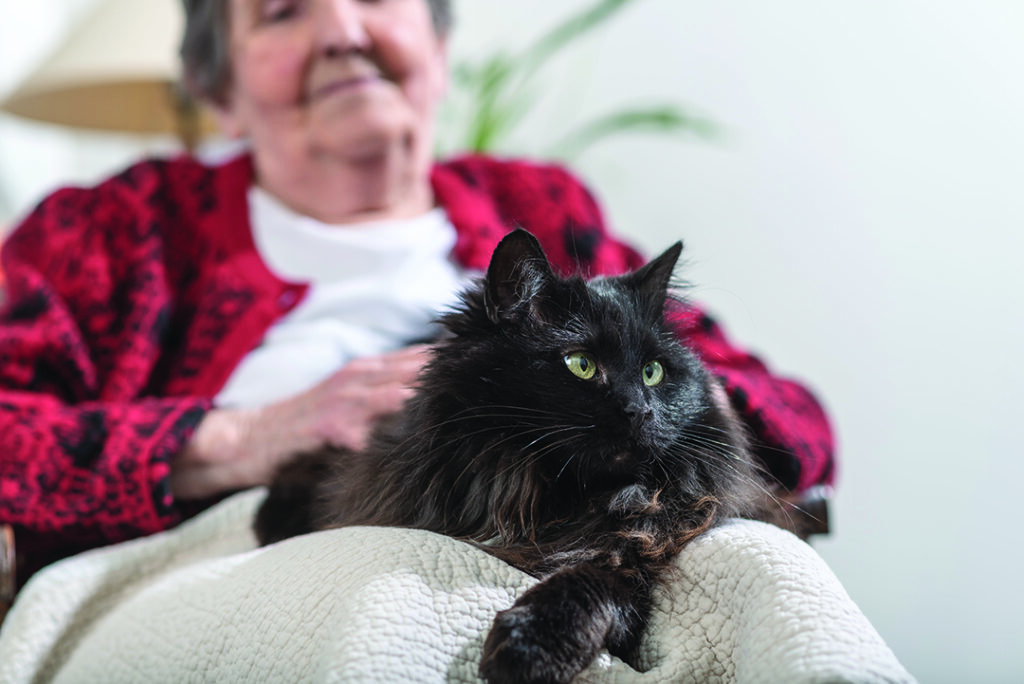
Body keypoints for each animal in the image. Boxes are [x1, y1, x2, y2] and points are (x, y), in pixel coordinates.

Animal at [254, 231, 765, 684]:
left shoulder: (637, 549)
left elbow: (585, 585)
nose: (639, 410)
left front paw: (529, 647)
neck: (551, 497)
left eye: (652, 372)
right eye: (580, 364)